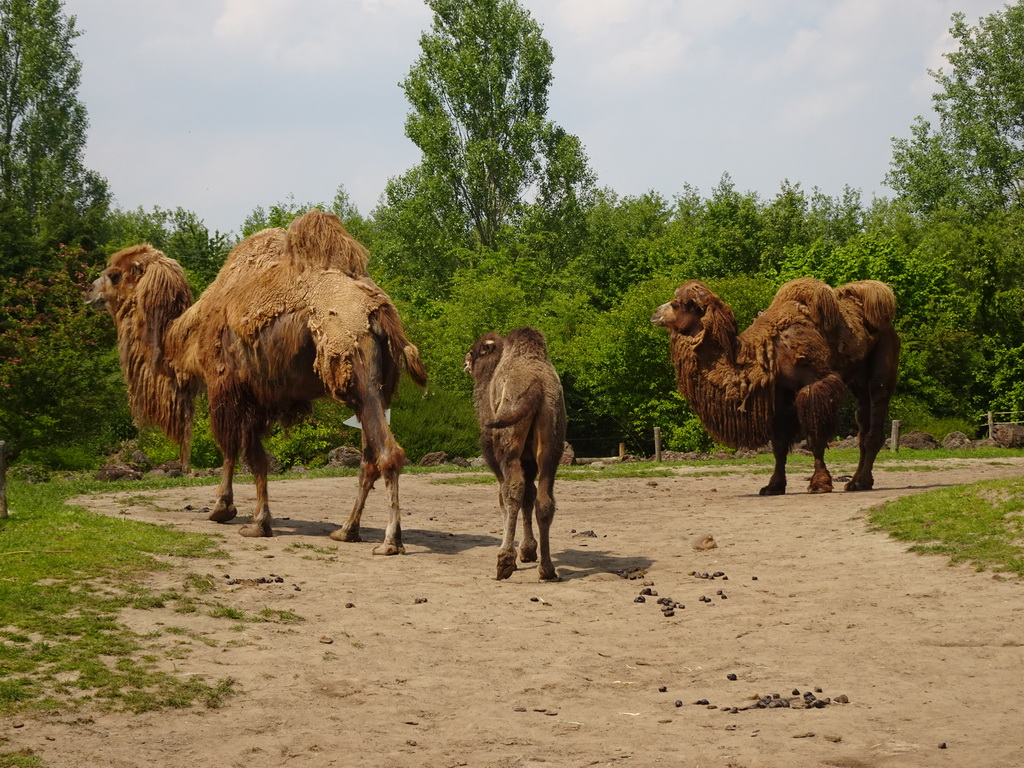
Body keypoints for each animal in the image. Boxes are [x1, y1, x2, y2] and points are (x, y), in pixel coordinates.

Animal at [82, 207, 428, 548]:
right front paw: (248, 515)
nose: (89, 291)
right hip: (379, 387)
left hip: (358, 372)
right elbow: (252, 454)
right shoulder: (259, 396)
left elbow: (239, 451)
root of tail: (380, 311)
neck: (185, 337)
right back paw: (346, 530)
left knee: (387, 453)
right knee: (368, 458)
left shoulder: (225, 385)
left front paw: (236, 514)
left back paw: (390, 540)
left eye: (114, 274)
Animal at [464, 325, 569, 581]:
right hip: (552, 440)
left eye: (475, 351)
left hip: (508, 440)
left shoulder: (494, 451)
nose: (465, 361)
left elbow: (504, 495)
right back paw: (547, 569)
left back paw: (504, 562)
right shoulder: (530, 459)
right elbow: (530, 496)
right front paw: (529, 551)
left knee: (512, 489)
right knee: (545, 498)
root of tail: (538, 387)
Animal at [651, 280, 901, 495]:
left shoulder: (815, 384)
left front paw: (819, 483)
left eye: (678, 303)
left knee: (875, 415)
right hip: (858, 380)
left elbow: (815, 437)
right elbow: (779, 445)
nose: (655, 313)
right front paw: (773, 486)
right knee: (863, 425)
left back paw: (861, 481)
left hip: (882, 366)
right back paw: (856, 481)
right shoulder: (780, 393)